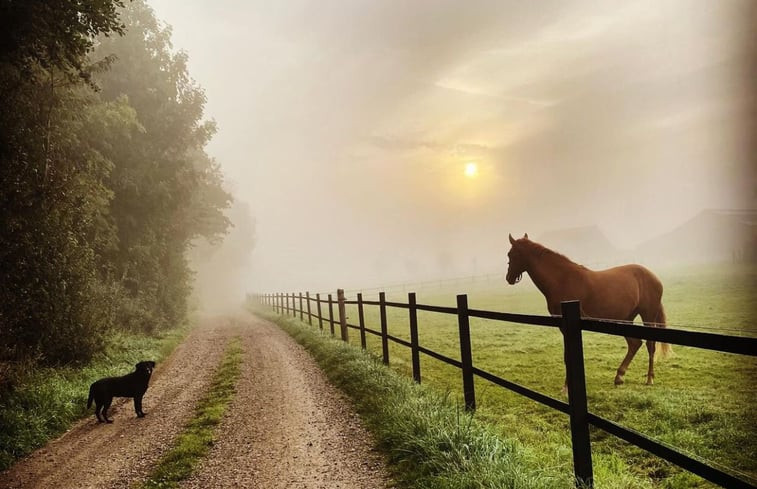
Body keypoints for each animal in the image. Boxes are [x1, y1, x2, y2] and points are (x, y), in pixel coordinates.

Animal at [504, 233, 672, 388]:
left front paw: (567, 386)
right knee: (635, 344)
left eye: (511, 254)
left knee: (650, 345)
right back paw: (619, 376)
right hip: (627, 318)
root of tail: (653, 277)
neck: (562, 279)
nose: (508, 278)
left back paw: (649, 378)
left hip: (647, 315)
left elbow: (568, 355)